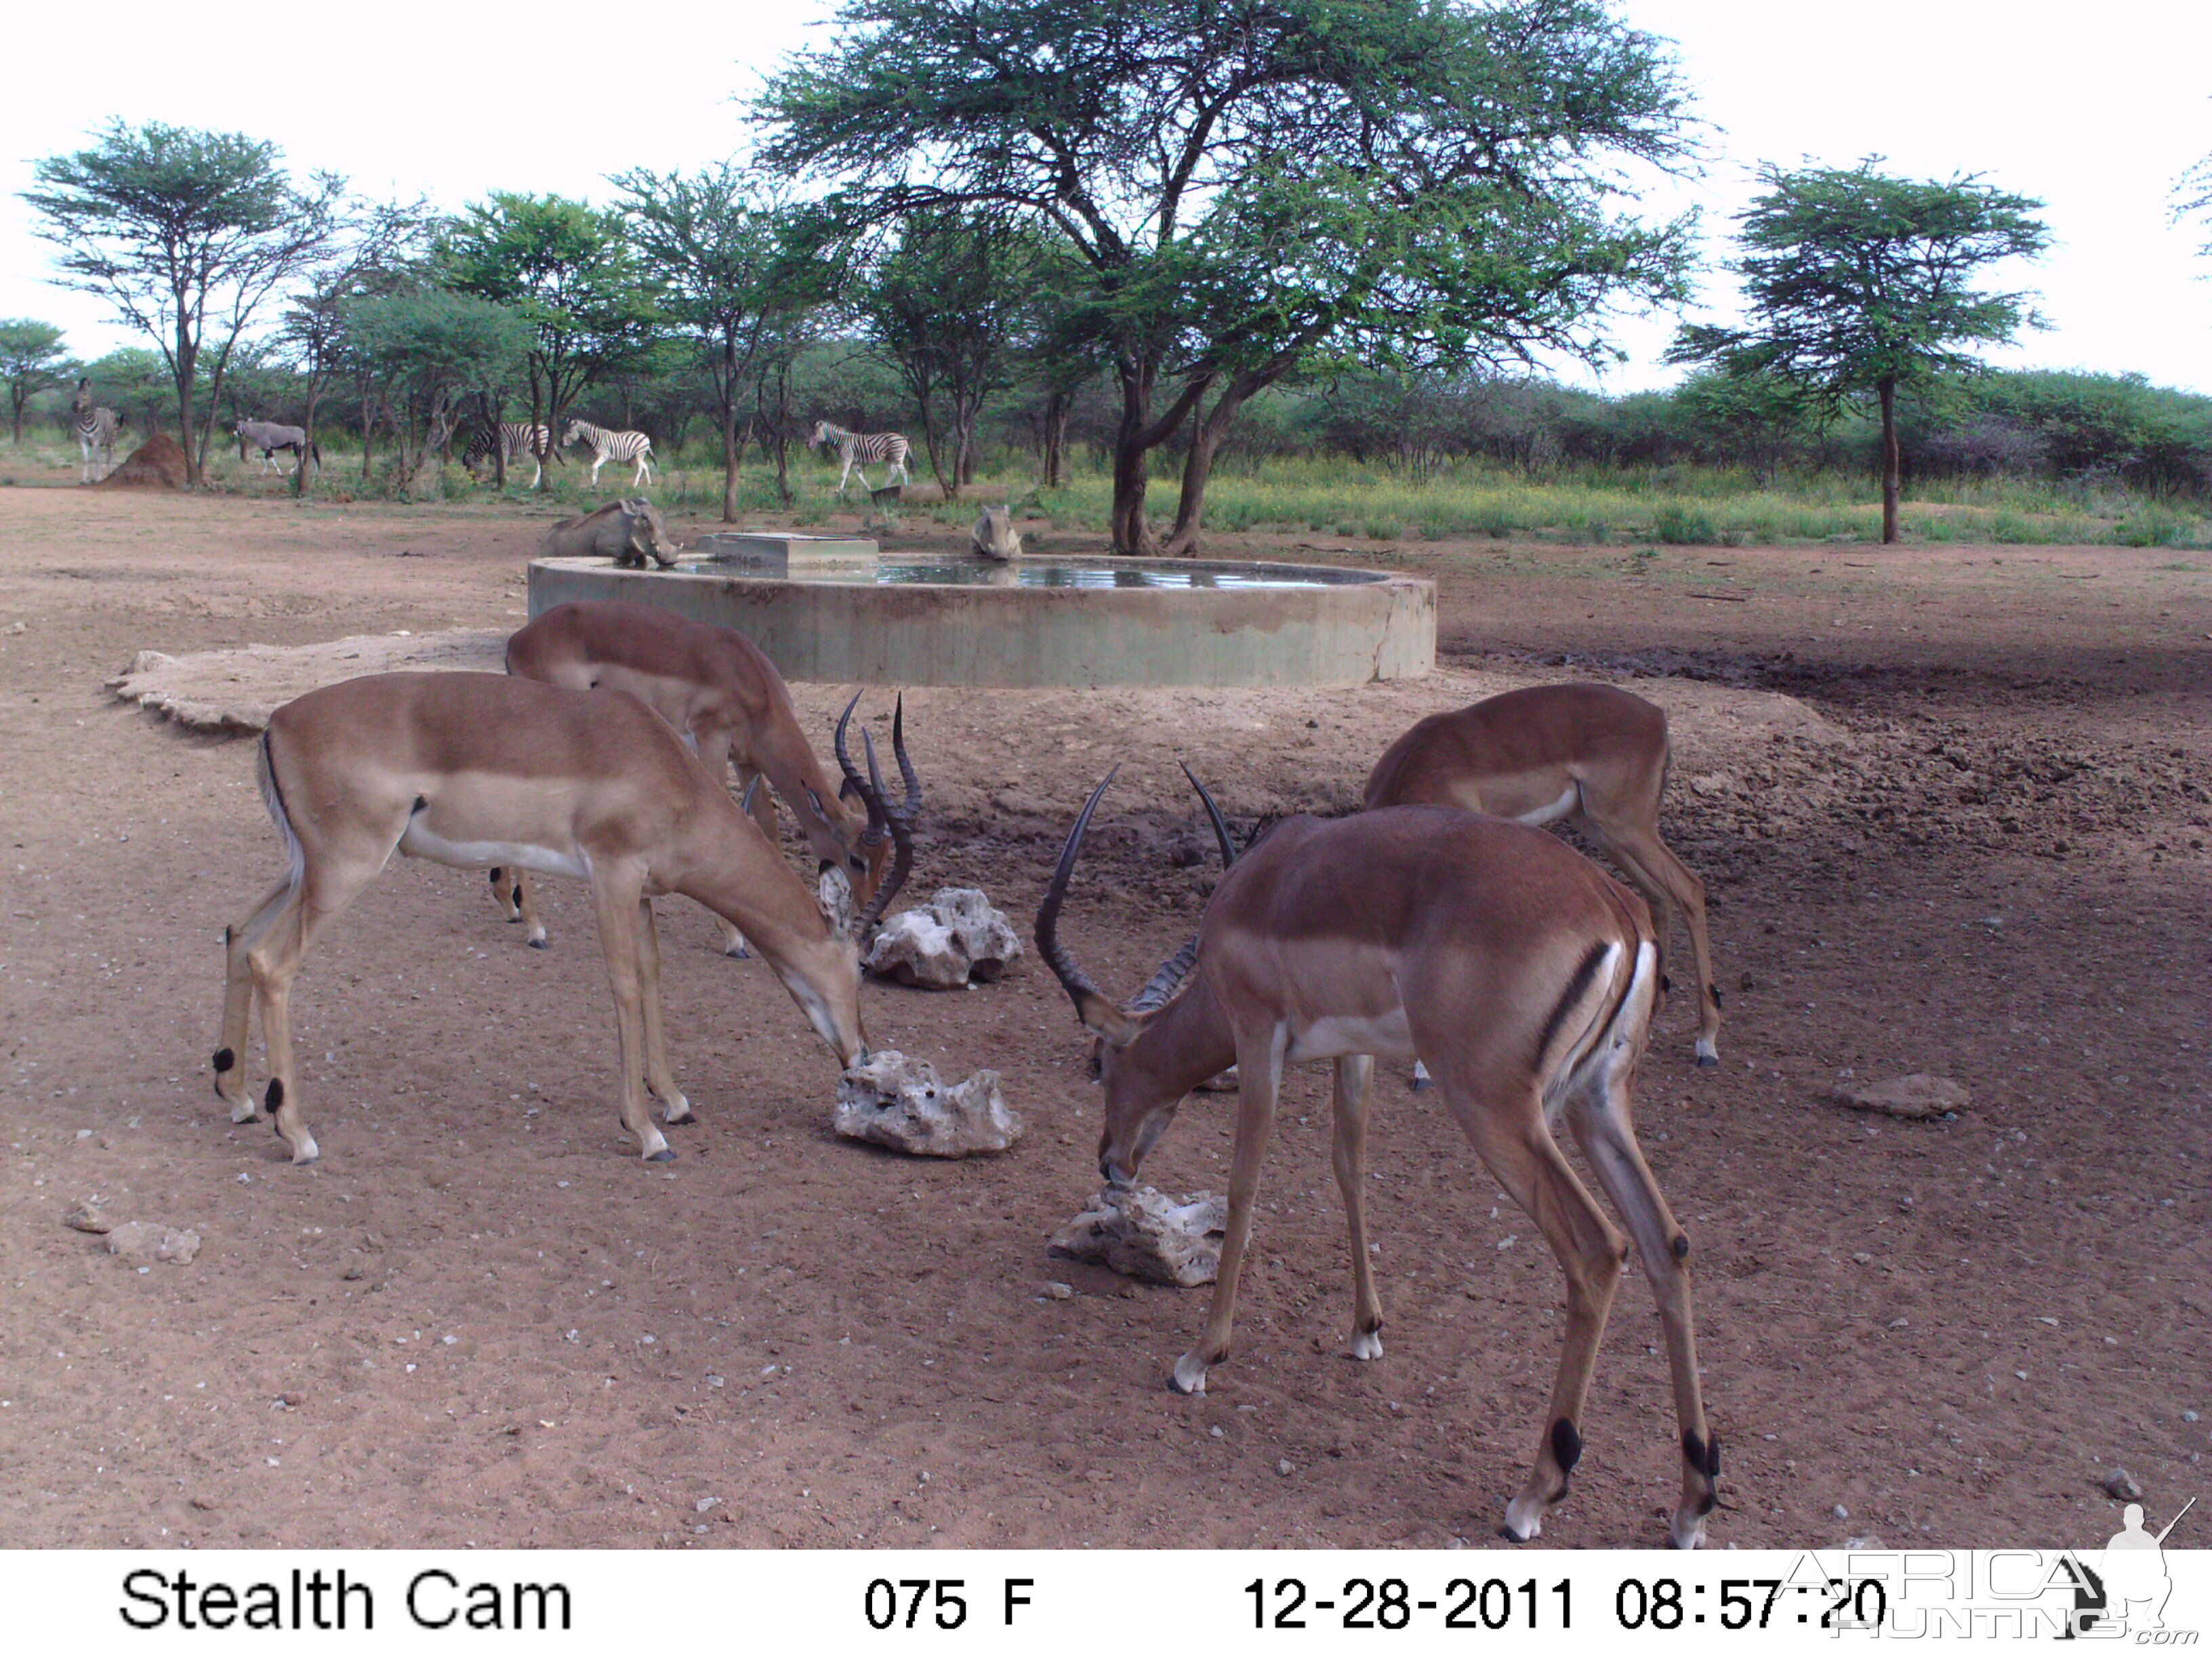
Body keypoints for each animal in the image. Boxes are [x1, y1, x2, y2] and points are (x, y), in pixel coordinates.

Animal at [70, 375, 118, 480]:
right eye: (76, 394)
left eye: (85, 394)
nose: (74, 407)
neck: (87, 421)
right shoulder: (83, 440)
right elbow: (87, 460)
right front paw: (85, 480)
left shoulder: (96, 439)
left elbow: (95, 459)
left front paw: (98, 478)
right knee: (99, 458)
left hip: (111, 440)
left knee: (109, 458)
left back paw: (109, 474)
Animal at [459, 422, 553, 487]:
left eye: (471, 470)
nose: (473, 483)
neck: (488, 441)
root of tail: (546, 428)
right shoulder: (496, 454)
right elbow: (497, 466)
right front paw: (498, 480)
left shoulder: (504, 449)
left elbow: (502, 466)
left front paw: (504, 480)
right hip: (534, 450)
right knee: (543, 463)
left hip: (541, 447)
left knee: (540, 464)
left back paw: (534, 485)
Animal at [557, 417, 650, 491]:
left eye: (569, 432)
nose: (561, 444)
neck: (596, 439)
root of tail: (644, 436)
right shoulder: (597, 456)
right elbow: (595, 468)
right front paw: (594, 483)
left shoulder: (604, 455)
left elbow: (594, 467)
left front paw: (593, 484)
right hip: (637, 455)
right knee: (645, 466)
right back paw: (649, 483)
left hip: (639, 454)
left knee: (640, 469)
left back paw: (635, 485)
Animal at [809, 422, 911, 493]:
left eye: (815, 433)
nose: (807, 444)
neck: (841, 441)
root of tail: (903, 438)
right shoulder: (855, 462)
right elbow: (860, 475)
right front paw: (869, 488)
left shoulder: (847, 458)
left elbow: (844, 474)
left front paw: (839, 490)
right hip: (889, 458)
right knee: (893, 472)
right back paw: (884, 487)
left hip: (897, 457)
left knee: (904, 473)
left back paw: (905, 488)